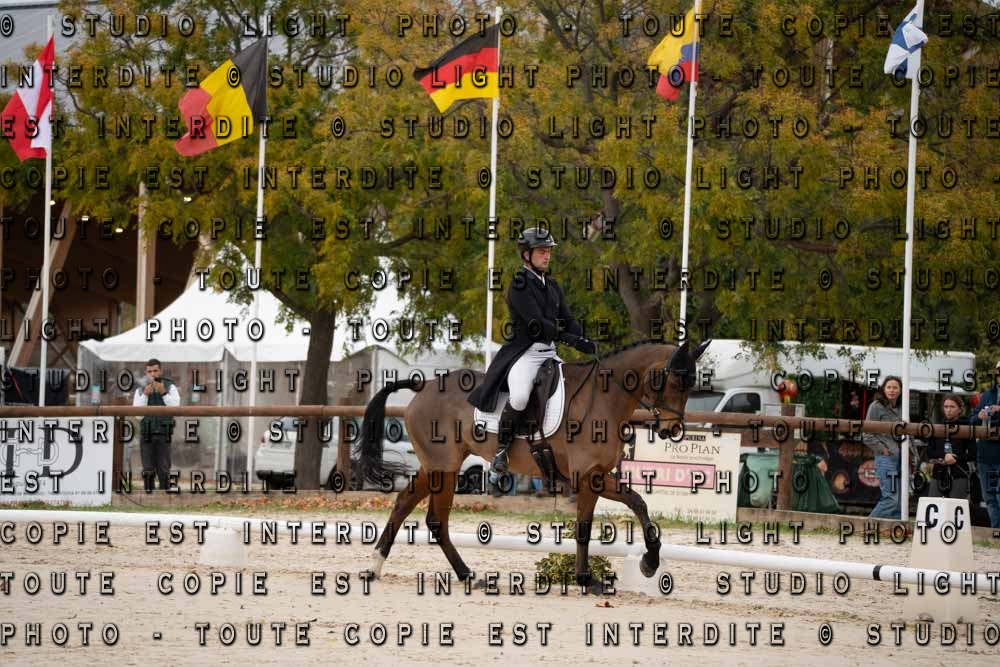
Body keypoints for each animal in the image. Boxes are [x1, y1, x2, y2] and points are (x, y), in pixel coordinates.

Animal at [357, 338, 710, 589]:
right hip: (442, 468)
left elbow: (635, 504)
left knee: (412, 508)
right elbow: (594, 522)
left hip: (436, 467)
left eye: (692, 385)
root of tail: (425, 385)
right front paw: (595, 577)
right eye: (675, 382)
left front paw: (645, 563)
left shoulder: (596, 476)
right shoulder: (588, 477)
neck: (604, 398)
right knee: (430, 517)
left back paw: (397, 569)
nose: (671, 430)